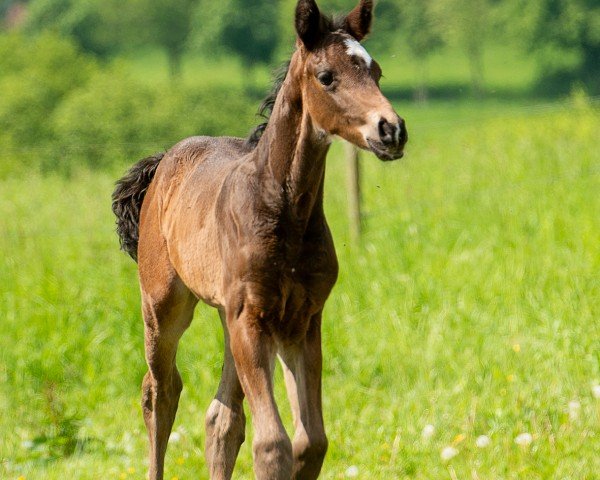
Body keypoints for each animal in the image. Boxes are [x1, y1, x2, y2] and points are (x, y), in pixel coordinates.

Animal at [112, 1, 408, 478]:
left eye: (376, 71)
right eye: (327, 76)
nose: (391, 130)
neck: (283, 212)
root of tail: (161, 165)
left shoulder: (300, 321)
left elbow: (312, 442)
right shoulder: (251, 320)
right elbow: (273, 444)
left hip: (226, 315)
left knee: (222, 417)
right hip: (163, 306)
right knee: (160, 392)